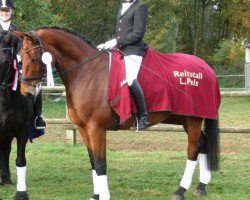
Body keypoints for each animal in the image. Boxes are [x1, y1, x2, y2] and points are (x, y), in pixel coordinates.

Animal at [13, 27, 219, 200]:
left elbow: (101, 163)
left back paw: (181, 190)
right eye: (20, 59)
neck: (86, 72)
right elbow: (93, 162)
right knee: (203, 143)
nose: (26, 92)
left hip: (193, 119)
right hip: (184, 119)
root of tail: (206, 67)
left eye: (33, 58)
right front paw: (96, 196)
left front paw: (103, 196)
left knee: (192, 149)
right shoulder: (84, 128)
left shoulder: (96, 128)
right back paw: (201, 186)